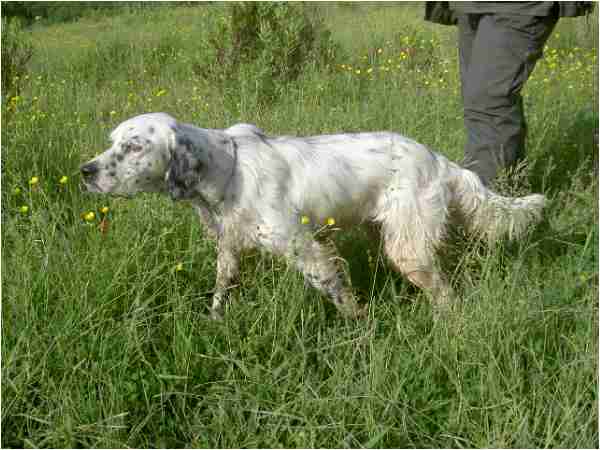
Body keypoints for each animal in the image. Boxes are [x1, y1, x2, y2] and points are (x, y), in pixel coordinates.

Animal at [81, 112, 546, 319]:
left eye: (134, 146)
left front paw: (361, 330)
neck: (226, 171)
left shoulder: (307, 250)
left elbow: (340, 296)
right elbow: (221, 288)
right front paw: (214, 321)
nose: (85, 171)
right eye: (112, 141)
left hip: (407, 248)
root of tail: (439, 160)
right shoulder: (229, 248)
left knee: (445, 294)